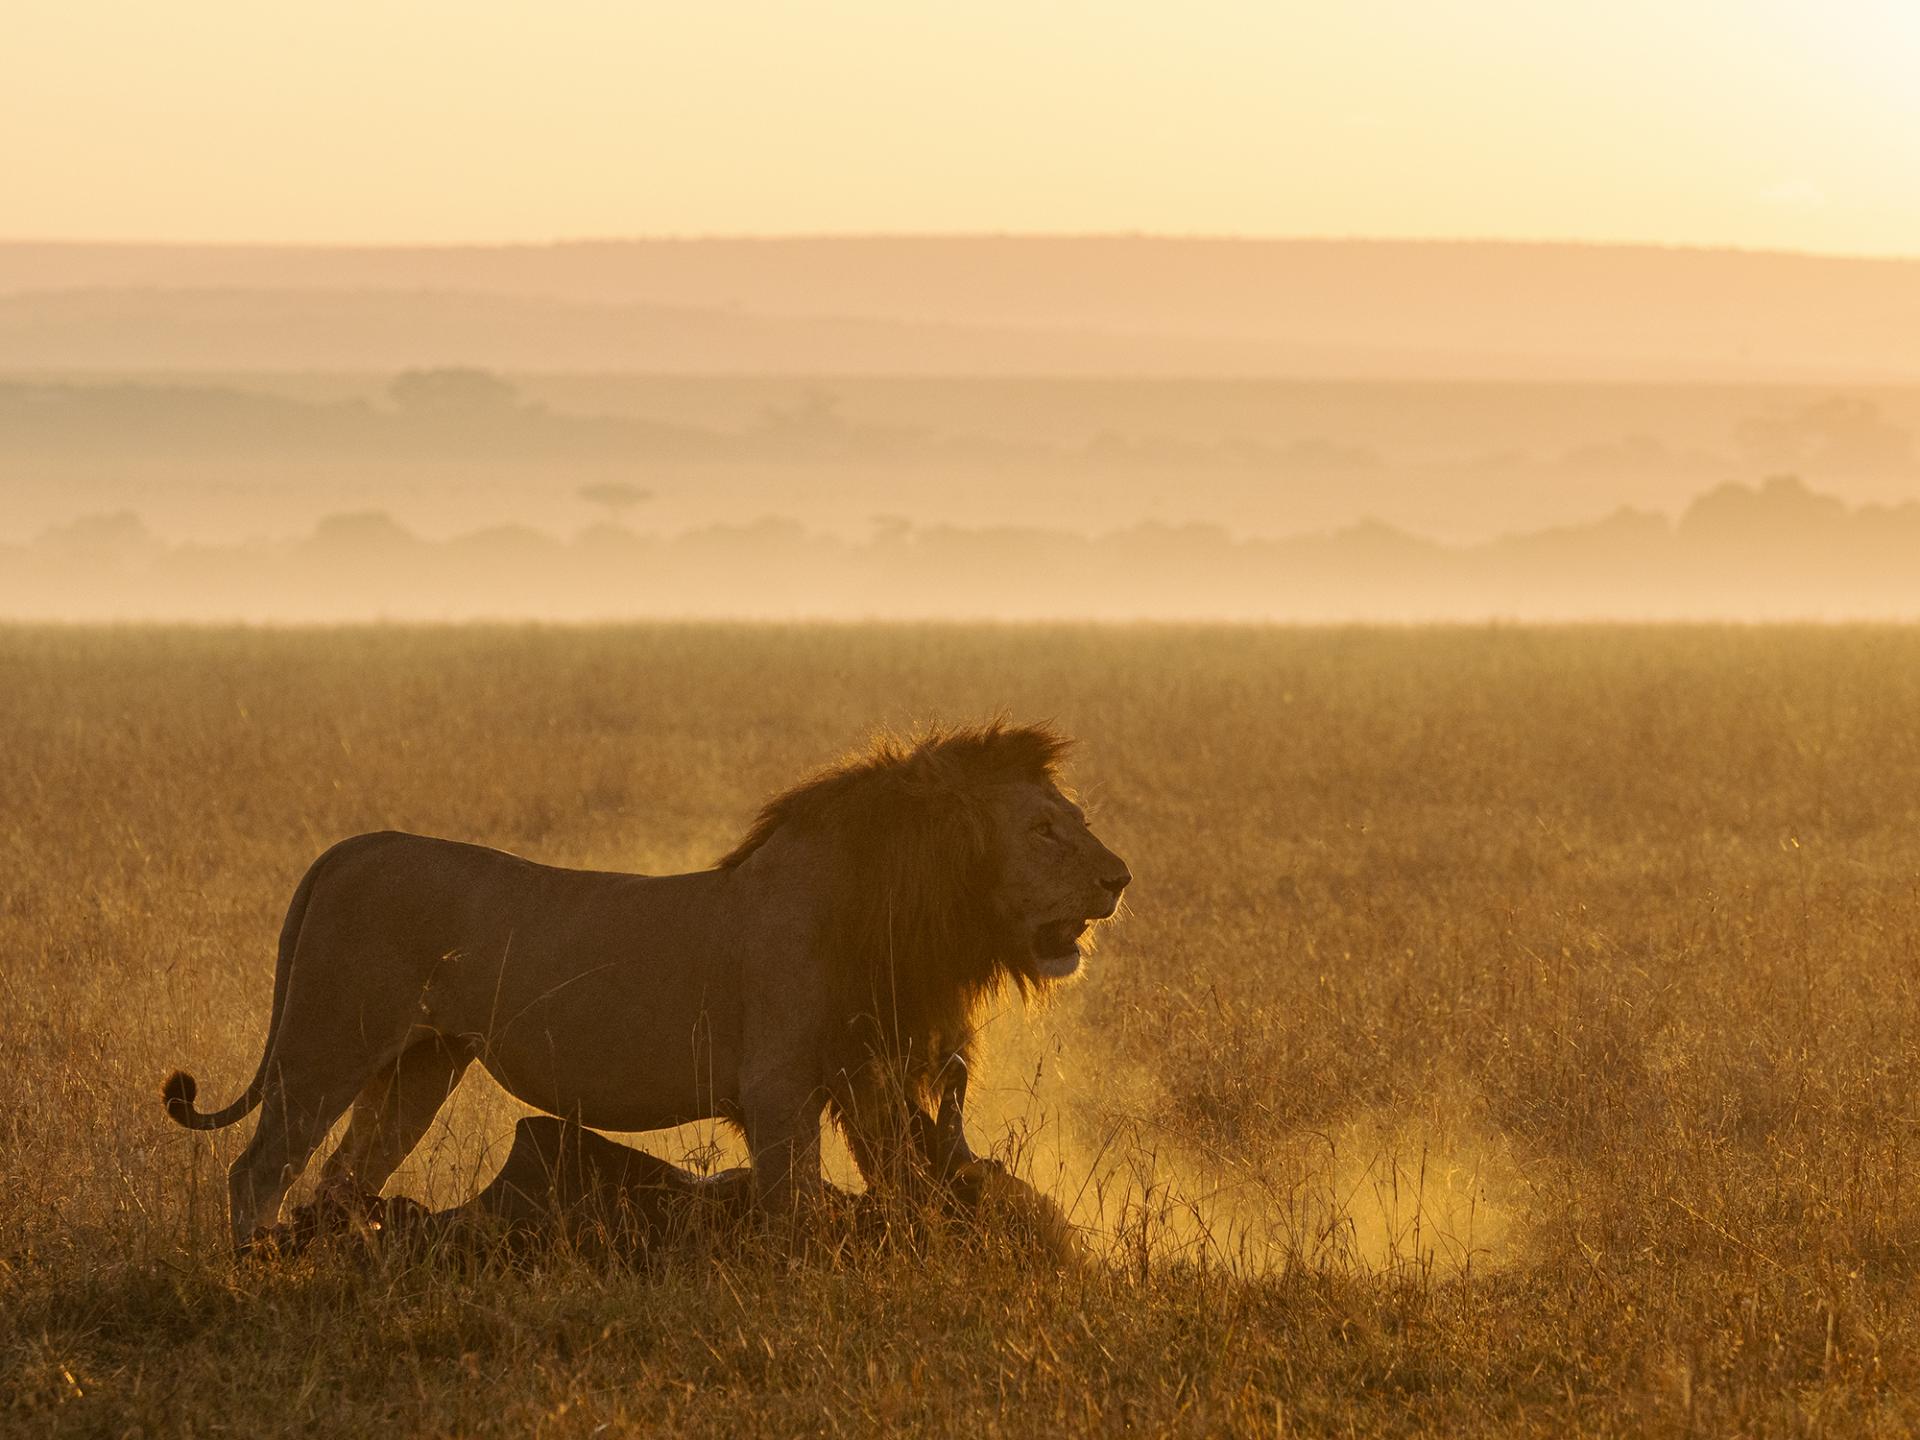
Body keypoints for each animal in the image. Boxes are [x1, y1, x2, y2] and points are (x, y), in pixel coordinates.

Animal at [168, 721, 1121, 1251]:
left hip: (420, 1066)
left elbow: (904, 1187)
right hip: (327, 1045)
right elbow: (796, 1214)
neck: (888, 908)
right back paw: (249, 1277)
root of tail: (352, 847)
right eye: (1043, 831)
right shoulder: (778, 1092)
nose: (1121, 878)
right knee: (256, 1172)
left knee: (339, 1180)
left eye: (1077, 820)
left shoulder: (868, 1079)